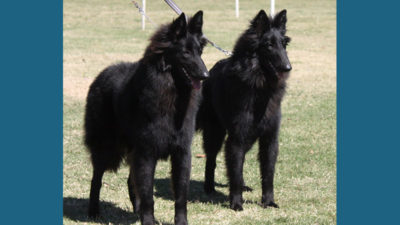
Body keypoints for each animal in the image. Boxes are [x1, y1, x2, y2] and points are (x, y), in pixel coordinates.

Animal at [85, 11, 209, 225]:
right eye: (185, 53)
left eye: (199, 52)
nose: (205, 75)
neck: (172, 92)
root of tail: (101, 75)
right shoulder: (147, 152)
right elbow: (148, 193)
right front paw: (149, 221)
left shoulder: (182, 152)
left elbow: (180, 194)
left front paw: (180, 221)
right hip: (106, 147)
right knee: (97, 179)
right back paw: (93, 211)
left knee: (131, 180)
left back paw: (136, 211)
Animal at [196, 9, 290, 211]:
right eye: (269, 45)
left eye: (283, 44)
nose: (288, 67)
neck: (260, 89)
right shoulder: (237, 137)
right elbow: (235, 170)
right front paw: (236, 203)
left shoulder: (269, 138)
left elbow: (267, 173)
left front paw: (268, 201)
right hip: (216, 133)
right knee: (211, 159)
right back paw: (209, 187)